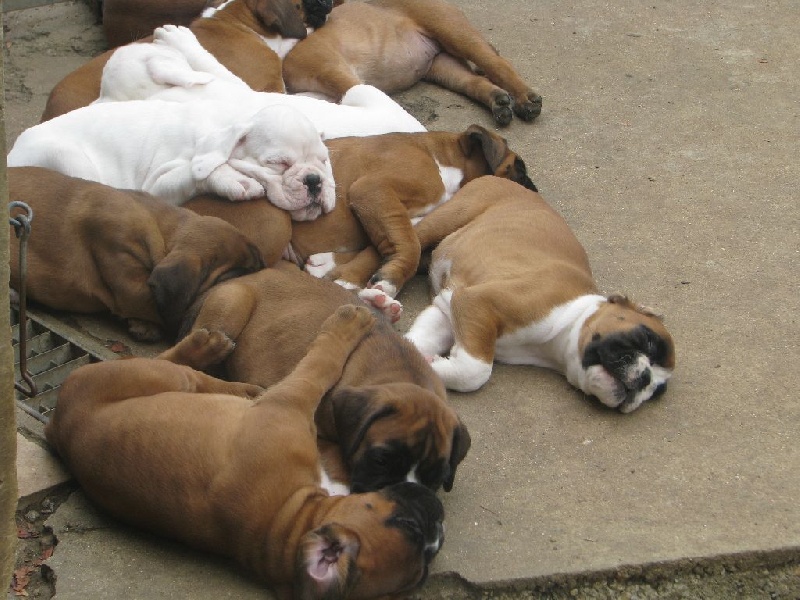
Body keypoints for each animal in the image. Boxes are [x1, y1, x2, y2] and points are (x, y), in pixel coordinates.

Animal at [8, 100, 335, 220]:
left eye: (323, 162)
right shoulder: (159, 182)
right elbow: (198, 170)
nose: (314, 181)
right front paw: (234, 178)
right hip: (70, 158)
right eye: (279, 163)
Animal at [45, 305, 446, 599]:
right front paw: (350, 324)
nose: (437, 517)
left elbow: (318, 367)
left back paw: (223, 366)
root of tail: (56, 427)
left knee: (183, 369)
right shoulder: (299, 405)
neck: (288, 518)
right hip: (163, 378)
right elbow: (321, 367)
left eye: (427, 563)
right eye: (408, 524)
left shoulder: (291, 402)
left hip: (159, 378)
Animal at [185, 125, 535, 320]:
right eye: (517, 169)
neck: (443, 160)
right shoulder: (373, 190)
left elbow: (388, 246)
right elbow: (408, 246)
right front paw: (387, 280)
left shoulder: (401, 217)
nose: (533, 191)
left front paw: (344, 273)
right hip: (272, 221)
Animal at [282, 0, 542, 126]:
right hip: (443, 66)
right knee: (473, 81)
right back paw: (497, 101)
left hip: (454, 32)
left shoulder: (334, 72)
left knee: (496, 63)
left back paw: (525, 98)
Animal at [404, 176, 676, 413]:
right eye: (648, 340)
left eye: (656, 391)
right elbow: (475, 371)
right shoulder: (477, 302)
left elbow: (419, 343)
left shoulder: (449, 308)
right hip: (449, 217)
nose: (646, 378)